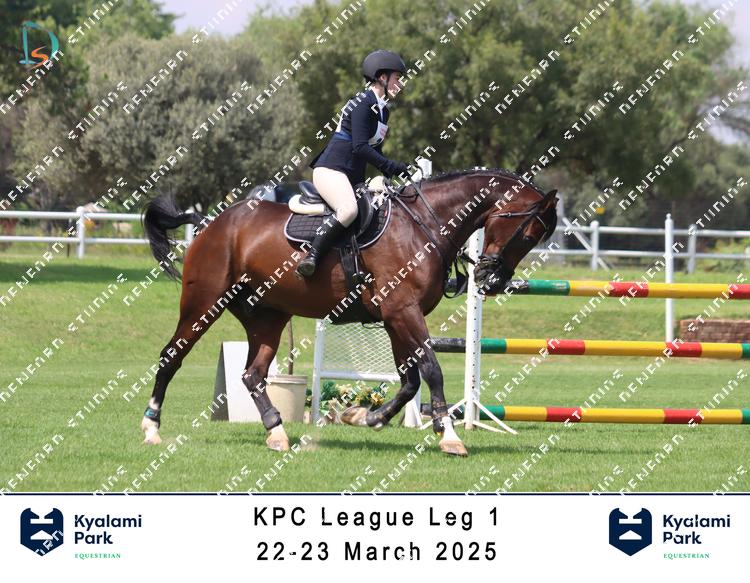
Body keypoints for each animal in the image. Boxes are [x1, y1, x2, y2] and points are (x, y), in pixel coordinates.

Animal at [140, 168, 558, 456]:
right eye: (527, 233)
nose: (491, 279)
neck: (423, 225)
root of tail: (212, 222)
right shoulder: (403, 312)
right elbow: (431, 370)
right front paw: (450, 436)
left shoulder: (396, 318)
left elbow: (409, 381)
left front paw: (367, 417)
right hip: (203, 304)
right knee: (171, 357)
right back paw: (152, 427)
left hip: (268, 317)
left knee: (253, 374)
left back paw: (276, 432)